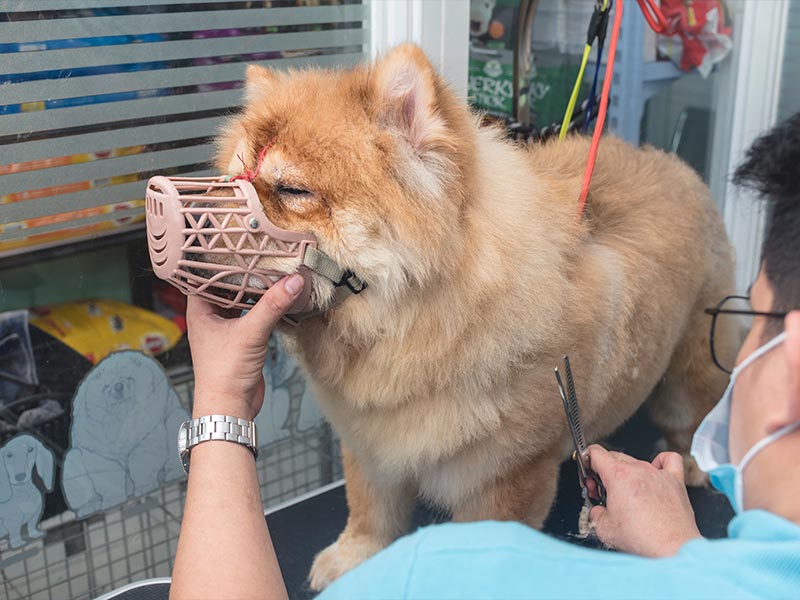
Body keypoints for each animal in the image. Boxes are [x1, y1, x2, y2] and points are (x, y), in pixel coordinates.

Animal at [62, 352, 188, 516]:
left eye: (127, 377)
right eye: (106, 385)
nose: (118, 386)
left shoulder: (147, 434)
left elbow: (142, 461)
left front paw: (144, 486)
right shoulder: (96, 449)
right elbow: (106, 475)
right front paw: (111, 500)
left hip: (176, 419)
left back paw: (171, 473)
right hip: (72, 462)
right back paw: (89, 506)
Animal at [216, 44, 740, 588]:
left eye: (292, 190)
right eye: (232, 178)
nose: (212, 208)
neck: (415, 333)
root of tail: (677, 165)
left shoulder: (507, 478)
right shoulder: (370, 442)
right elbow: (369, 511)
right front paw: (354, 558)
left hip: (691, 372)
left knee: (687, 425)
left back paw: (690, 467)